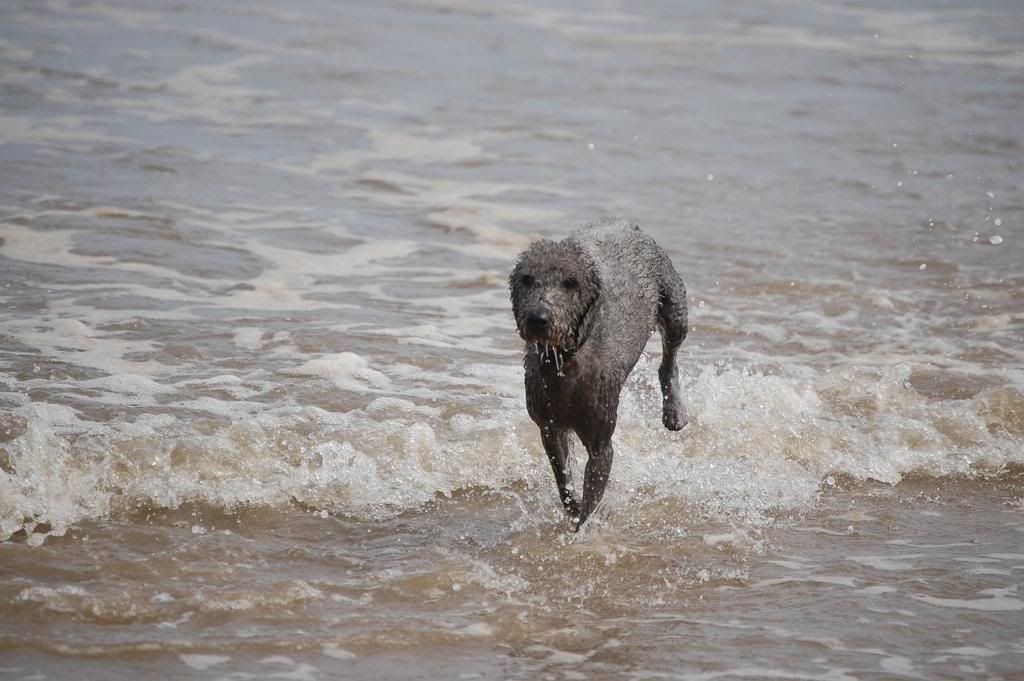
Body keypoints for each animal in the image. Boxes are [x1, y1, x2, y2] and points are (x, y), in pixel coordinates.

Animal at [509, 220, 688, 528]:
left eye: (571, 282)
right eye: (527, 279)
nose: (538, 318)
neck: (565, 362)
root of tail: (626, 224)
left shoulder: (601, 445)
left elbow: (589, 505)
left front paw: (584, 531)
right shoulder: (549, 428)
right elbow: (565, 486)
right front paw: (570, 513)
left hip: (675, 307)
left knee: (669, 361)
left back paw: (674, 411)